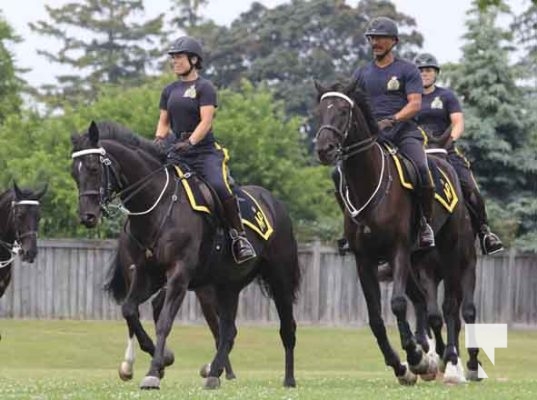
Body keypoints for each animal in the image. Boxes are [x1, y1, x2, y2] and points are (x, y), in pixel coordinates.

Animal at [69, 120, 300, 390]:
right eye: (74, 173)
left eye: (94, 168)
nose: (87, 216)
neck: (158, 207)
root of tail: (274, 203)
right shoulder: (147, 274)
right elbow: (129, 310)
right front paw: (161, 358)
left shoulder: (178, 275)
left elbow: (164, 321)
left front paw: (153, 371)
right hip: (226, 286)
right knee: (228, 331)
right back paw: (214, 373)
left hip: (279, 279)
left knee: (286, 328)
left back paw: (288, 379)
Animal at [314, 80, 478, 384]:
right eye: (320, 111)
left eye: (343, 111)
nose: (324, 148)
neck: (368, 181)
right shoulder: (365, 260)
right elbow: (376, 318)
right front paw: (401, 365)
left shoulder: (399, 250)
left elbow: (399, 304)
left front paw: (415, 357)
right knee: (427, 304)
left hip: (454, 253)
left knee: (453, 307)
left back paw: (455, 363)